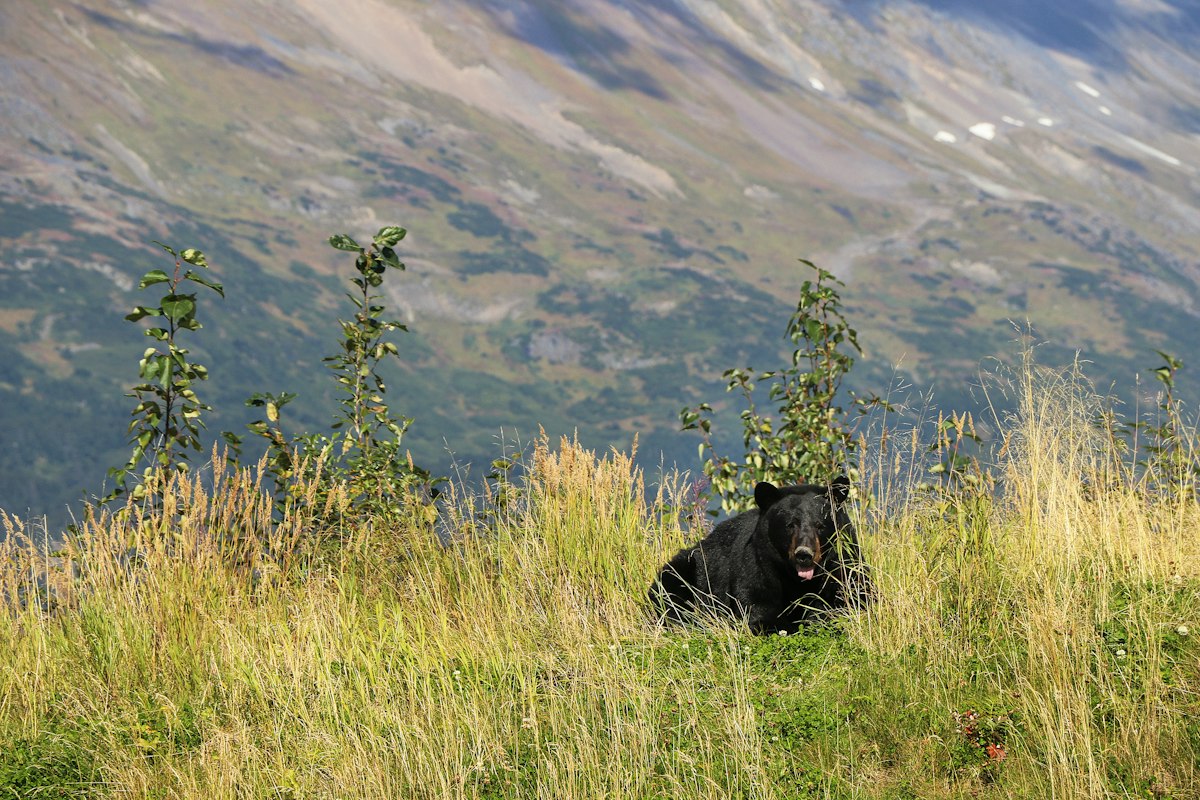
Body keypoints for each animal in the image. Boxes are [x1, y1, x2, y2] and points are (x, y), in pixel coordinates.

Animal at [649, 476, 870, 633]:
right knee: (669, 594)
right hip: (686, 569)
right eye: (790, 525)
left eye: (820, 525)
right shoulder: (757, 567)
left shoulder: (845, 566)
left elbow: (853, 599)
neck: (797, 580)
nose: (804, 554)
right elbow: (759, 610)